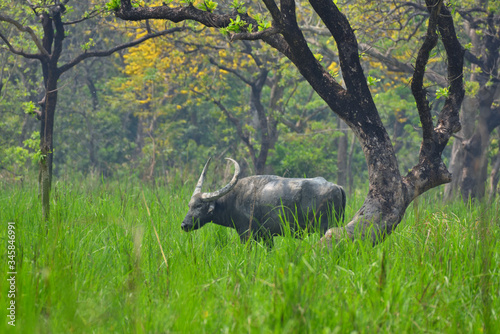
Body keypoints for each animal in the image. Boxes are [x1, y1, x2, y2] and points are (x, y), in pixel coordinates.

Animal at [181, 158, 348, 247]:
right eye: (189, 205)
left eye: (198, 205)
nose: (184, 225)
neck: (234, 199)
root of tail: (337, 187)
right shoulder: (267, 236)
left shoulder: (246, 234)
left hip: (324, 227)